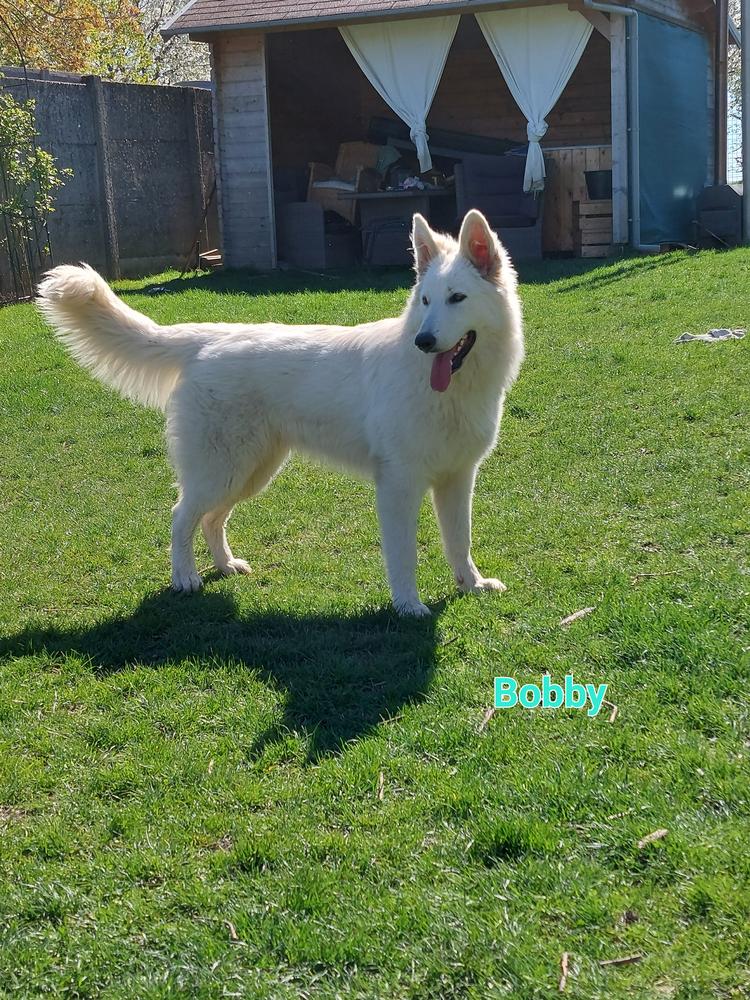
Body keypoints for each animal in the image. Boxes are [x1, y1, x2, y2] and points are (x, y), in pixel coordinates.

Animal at [36, 211, 524, 612]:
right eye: (425, 302)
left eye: (457, 298)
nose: (423, 341)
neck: (451, 389)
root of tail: (208, 338)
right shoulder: (399, 486)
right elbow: (403, 555)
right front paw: (408, 606)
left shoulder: (457, 479)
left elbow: (459, 541)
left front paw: (472, 585)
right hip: (222, 471)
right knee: (180, 517)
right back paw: (185, 578)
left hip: (250, 472)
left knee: (211, 520)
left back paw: (226, 566)